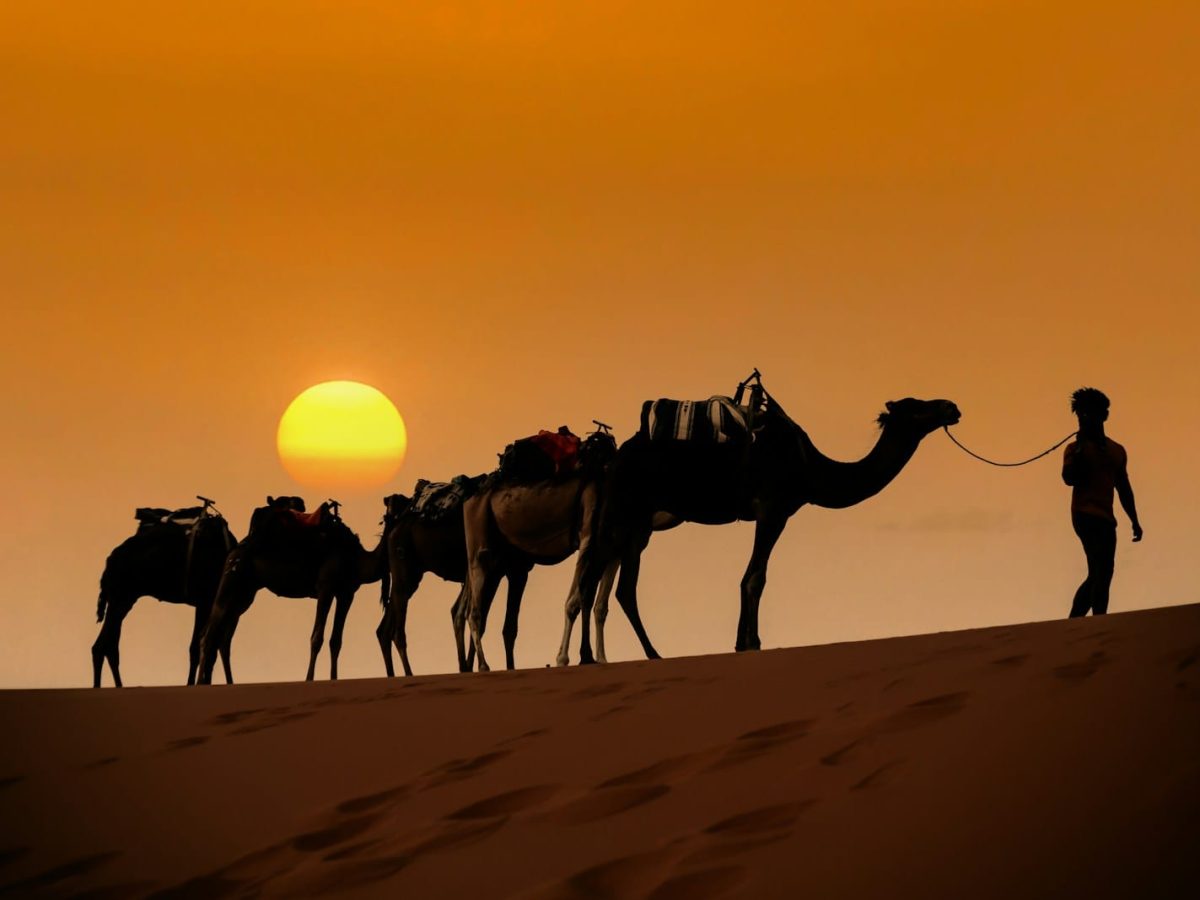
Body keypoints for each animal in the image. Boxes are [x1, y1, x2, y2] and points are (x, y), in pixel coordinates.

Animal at [92, 500, 237, 687]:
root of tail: (109, 560)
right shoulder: (205, 601)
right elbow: (200, 648)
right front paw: (194, 684)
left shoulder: (208, 604)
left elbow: (204, 648)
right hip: (120, 597)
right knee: (101, 647)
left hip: (123, 600)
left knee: (109, 646)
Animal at [196, 496, 395, 684]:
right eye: (395, 502)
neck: (355, 557)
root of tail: (235, 548)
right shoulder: (326, 588)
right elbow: (317, 638)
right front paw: (309, 679)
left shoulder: (346, 594)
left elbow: (336, 641)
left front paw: (334, 679)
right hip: (232, 579)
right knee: (208, 635)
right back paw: (199, 684)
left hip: (245, 592)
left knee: (223, 639)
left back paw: (230, 683)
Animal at [375, 491, 532, 677]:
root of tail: (395, 525)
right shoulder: (513, 570)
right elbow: (501, 625)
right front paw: (488, 666)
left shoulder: (502, 572)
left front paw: (469, 666)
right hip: (404, 570)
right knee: (397, 631)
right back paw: (409, 673)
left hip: (410, 576)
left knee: (384, 630)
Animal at [571, 391, 961, 664]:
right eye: (916, 406)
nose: (951, 407)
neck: (810, 468)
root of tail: (615, 456)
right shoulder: (774, 509)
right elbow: (755, 577)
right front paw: (752, 643)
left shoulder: (773, 511)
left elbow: (751, 576)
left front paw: (741, 642)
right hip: (625, 509)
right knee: (599, 577)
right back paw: (610, 656)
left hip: (636, 522)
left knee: (614, 584)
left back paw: (625, 655)